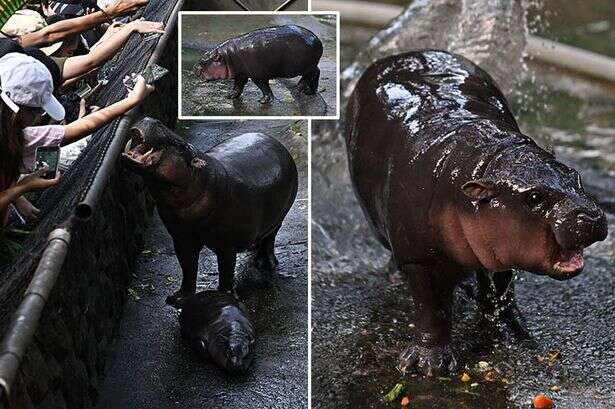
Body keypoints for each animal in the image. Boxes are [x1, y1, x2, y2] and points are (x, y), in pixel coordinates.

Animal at [121, 117, 298, 306]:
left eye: (180, 144)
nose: (151, 119)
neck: (199, 179)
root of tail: (278, 143)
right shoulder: (182, 238)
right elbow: (188, 267)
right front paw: (177, 298)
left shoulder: (226, 244)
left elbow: (226, 271)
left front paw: (225, 296)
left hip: (279, 216)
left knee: (270, 238)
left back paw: (265, 263)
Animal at [195, 24, 324, 103]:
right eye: (203, 57)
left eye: (202, 61)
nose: (194, 67)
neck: (227, 56)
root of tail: (318, 40)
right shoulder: (241, 74)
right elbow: (237, 86)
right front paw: (229, 96)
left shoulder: (257, 75)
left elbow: (264, 87)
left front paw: (263, 101)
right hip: (310, 65)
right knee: (317, 72)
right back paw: (310, 92)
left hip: (304, 67)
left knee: (311, 74)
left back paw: (298, 88)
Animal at [344, 50, 608, 376]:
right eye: (534, 197)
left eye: (575, 175)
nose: (591, 215)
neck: (483, 162)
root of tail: (403, 54)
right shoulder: (420, 259)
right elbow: (432, 309)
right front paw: (429, 364)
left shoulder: (498, 249)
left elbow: (500, 289)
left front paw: (511, 333)